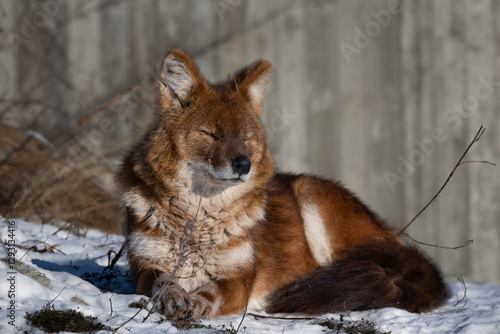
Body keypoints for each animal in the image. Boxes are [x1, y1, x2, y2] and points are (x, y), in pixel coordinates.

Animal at [118, 49, 450, 320]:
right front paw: (173, 297)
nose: (243, 164)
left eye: (246, 138)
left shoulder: (240, 275)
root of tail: (389, 233)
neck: (198, 220)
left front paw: (198, 302)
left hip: (313, 194)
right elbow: (163, 281)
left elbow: (214, 292)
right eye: (211, 134)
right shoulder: (143, 265)